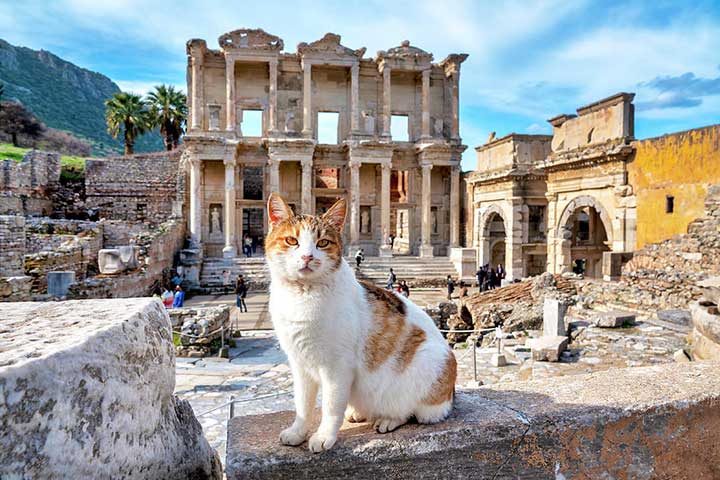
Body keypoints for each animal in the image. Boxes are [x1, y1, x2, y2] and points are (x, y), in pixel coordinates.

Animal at [264, 193, 456, 452]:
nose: (307, 256)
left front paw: (324, 436)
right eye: (291, 240)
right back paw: (358, 413)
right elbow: (302, 403)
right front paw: (297, 432)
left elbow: (331, 405)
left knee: (413, 412)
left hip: (428, 367)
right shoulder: (299, 362)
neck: (302, 294)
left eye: (323, 243)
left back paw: (387, 419)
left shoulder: (337, 366)